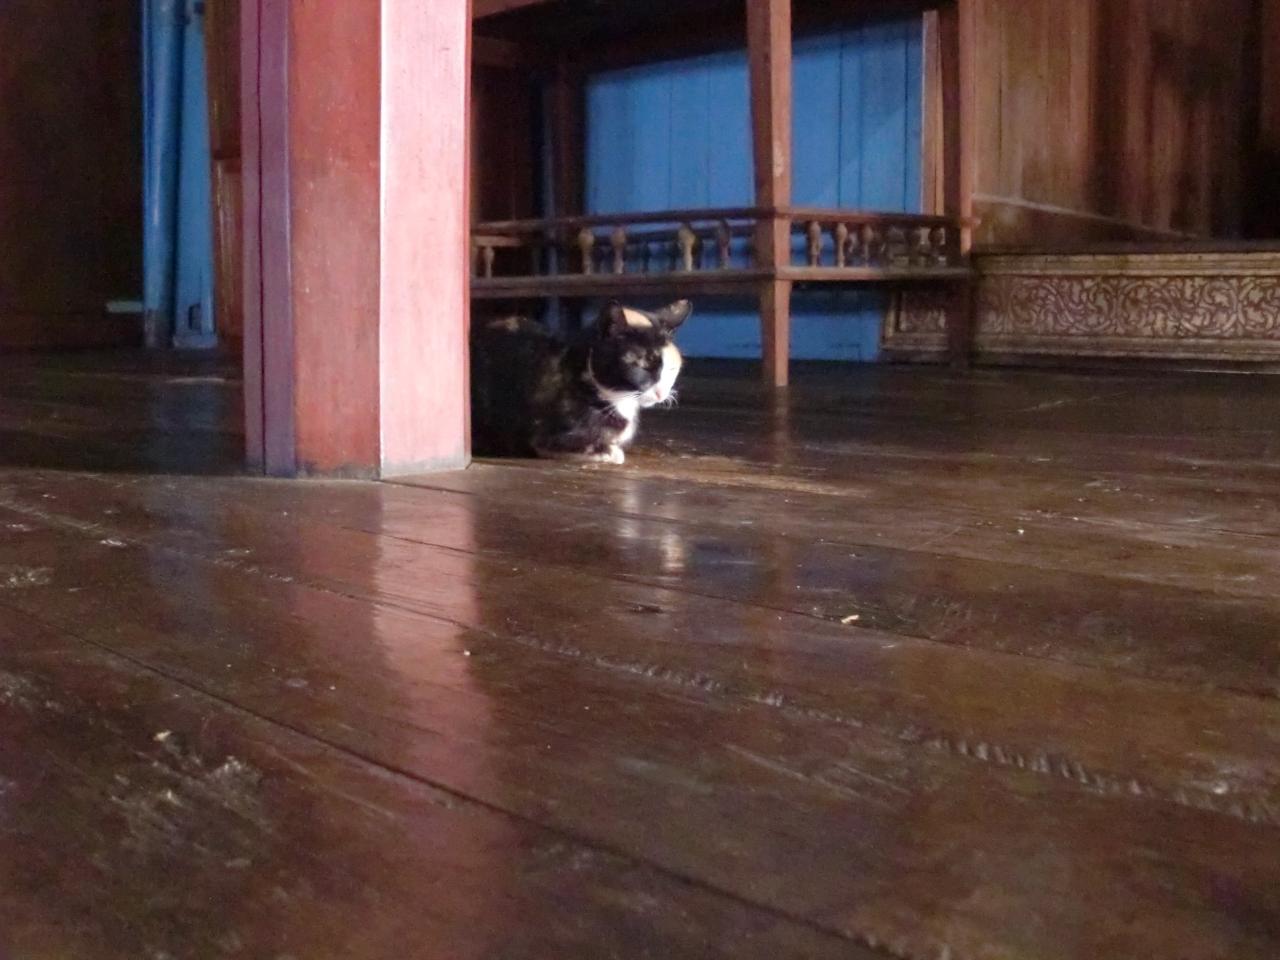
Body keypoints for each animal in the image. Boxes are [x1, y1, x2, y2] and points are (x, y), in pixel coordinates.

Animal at [470, 299, 691, 464]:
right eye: (642, 364)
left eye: (671, 368)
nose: (661, 393)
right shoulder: (545, 440)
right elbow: (605, 448)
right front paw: (611, 451)